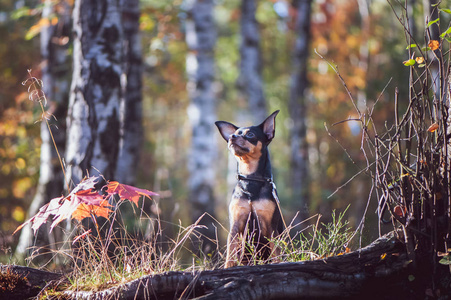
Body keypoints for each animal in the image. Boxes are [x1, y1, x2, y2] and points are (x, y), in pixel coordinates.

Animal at [217, 110, 284, 268]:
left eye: (250, 134)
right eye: (233, 133)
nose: (232, 137)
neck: (250, 180)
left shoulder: (271, 228)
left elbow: (276, 254)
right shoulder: (235, 227)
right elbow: (230, 256)